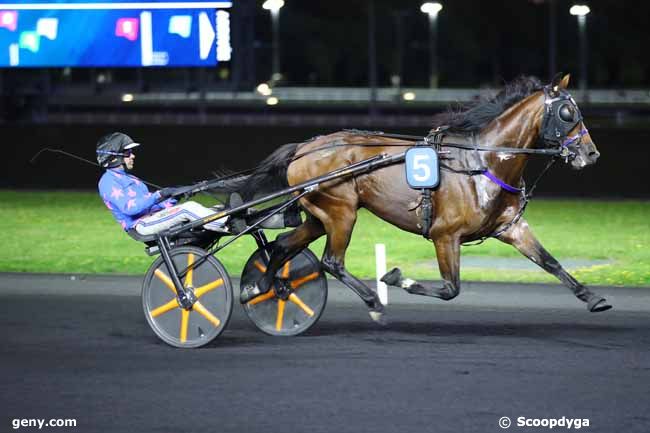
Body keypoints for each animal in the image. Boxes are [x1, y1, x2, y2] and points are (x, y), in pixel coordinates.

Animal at [223, 74, 608, 322]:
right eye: (568, 113)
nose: (591, 154)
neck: (483, 162)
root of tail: (305, 147)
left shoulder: (511, 227)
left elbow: (551, 263)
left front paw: (594, 298)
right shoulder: (445, 235)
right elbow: (450, 288)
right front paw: (396, 278)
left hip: (320, 216)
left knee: (284, 245)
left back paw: (260, 287)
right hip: (341, 212)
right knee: (331, 261)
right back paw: (373, 302)